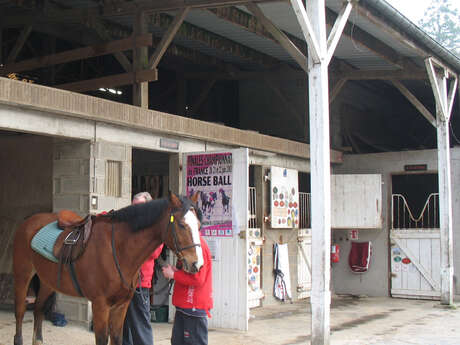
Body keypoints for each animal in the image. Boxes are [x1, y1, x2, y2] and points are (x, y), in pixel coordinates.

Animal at [12, 191, 202, 344]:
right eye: (181, 225)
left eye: (199, 225)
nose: (197, 264)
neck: (118, 249)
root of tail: (28, 222)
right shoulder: (100, 306)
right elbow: (102, 339)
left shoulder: (121, 306)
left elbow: (117, 338)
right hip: (22, 276)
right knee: (20, 312)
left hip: (48, 282)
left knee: (38, 310)